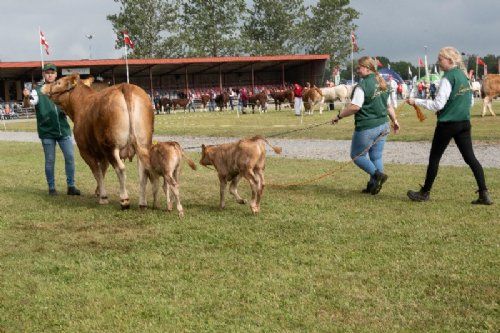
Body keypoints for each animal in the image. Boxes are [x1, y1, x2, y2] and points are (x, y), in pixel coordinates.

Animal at [42, 73, 153, 208]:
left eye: (58, 82)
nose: (44, 86)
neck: (81, 104)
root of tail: (125, 86)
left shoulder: (85, 152)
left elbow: (97, 173)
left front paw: (103, 197)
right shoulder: (102, 154)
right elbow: (103, 171)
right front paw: (98, 191)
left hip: (111, 146)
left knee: (120, 168)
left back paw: (124, 200)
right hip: (143, 144)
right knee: (144, 170)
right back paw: (142, 203)